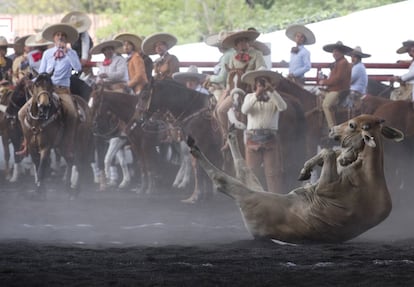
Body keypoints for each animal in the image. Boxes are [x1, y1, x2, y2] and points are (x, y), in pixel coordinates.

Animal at [188, 115, 404, 243]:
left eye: (352, 125)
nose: (332, 129)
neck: (369, 173)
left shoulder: (325, 189)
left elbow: (329, 152)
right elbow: (331, 153)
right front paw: (309, 169)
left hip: (252, 198)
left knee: (223, 180)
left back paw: (196, 148)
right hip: (260, 190)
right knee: (243, 169)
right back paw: (231, 134)